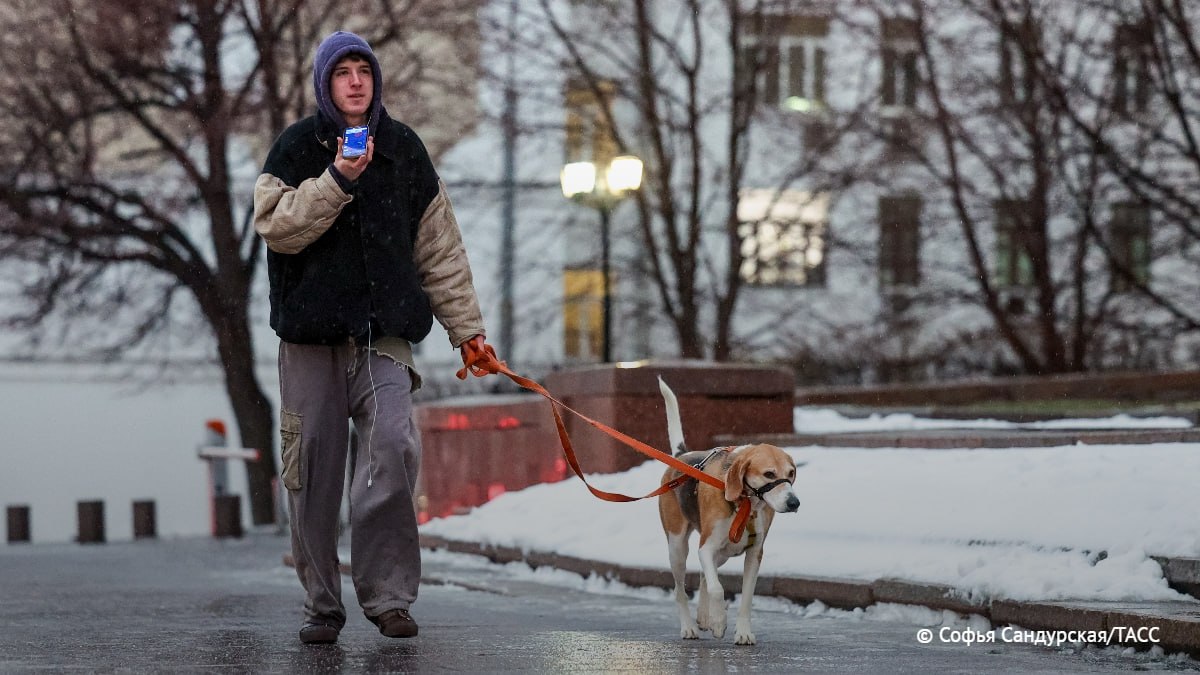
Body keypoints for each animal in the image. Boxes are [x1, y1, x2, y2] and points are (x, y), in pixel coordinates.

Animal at [657, 374, 796, 643]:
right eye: (769, 474)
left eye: (791, 473)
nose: (794, 503)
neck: (746, 503)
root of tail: (682, 456)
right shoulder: (707, 548)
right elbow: (717, 588)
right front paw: (719, 621)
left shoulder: (754, 554)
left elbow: (746, 597)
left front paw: (742, 632)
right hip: (677, 547)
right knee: (681, 589)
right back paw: (690, 626)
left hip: (723, 552)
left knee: (703, 575)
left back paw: (703, 616)